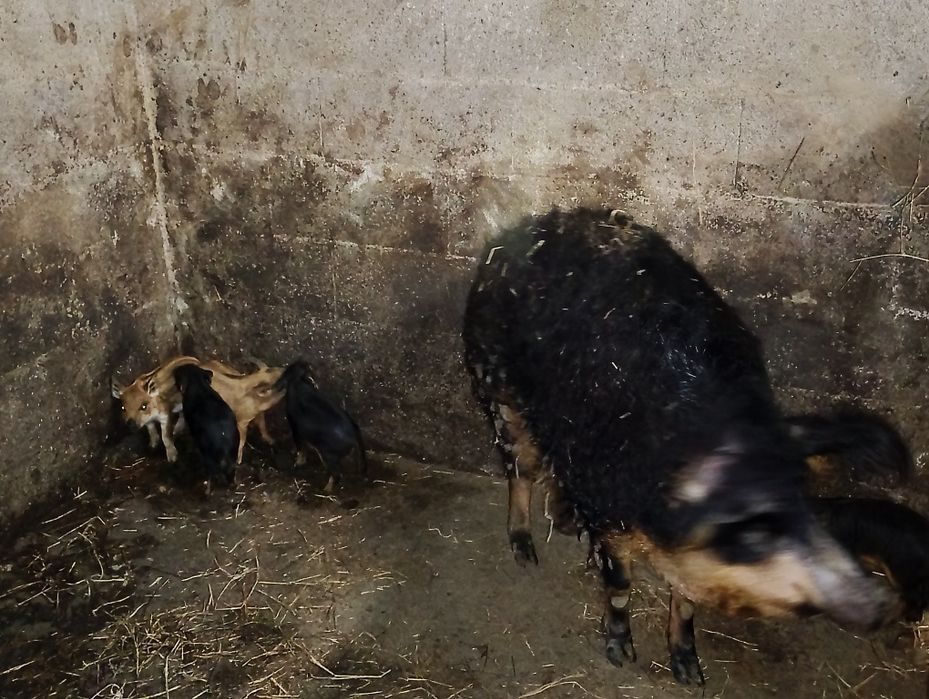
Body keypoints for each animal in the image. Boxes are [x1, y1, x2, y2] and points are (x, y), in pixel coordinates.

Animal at [174, 364, 239, 494]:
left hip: (208, 455)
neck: (199, 386)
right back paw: (233, 484)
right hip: (234, 450)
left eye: (178, 373)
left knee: (211, 473)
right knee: (232, 469)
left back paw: (207, 492)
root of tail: (223, 440)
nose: (173, 371)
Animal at [273, 360, 367, 492]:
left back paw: (325, 490)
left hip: (328, 454)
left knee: (337, 474)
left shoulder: (295, 426)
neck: (298, 383)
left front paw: (297, 463)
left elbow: (300, 447)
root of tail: (354, 438)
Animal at [462, 207, 891, 685]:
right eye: (755, 530)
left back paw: (570, 525)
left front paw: (690, 674)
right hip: (498, 388)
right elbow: (619, 585)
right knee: (521, 468)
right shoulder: (614, 505)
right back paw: (525, 550)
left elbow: (686, 601)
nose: (876, 601)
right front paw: (620, 653)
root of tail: (529, 227)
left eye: (804, 504)